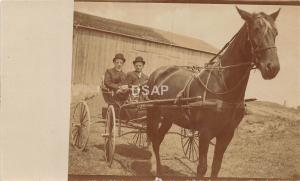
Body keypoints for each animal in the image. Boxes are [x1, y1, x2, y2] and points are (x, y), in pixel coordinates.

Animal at [146, 6, 282, 177]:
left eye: (276, 32)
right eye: (256, 29)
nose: (273, 68)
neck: (224, 87)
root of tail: (159, 71)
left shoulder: (227, 134)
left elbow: (216, 166)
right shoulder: (205, 133)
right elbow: (202, 168)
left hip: (168, 117)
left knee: (158, 139)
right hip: (153, 113)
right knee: (154, 139)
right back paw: (156, 170)